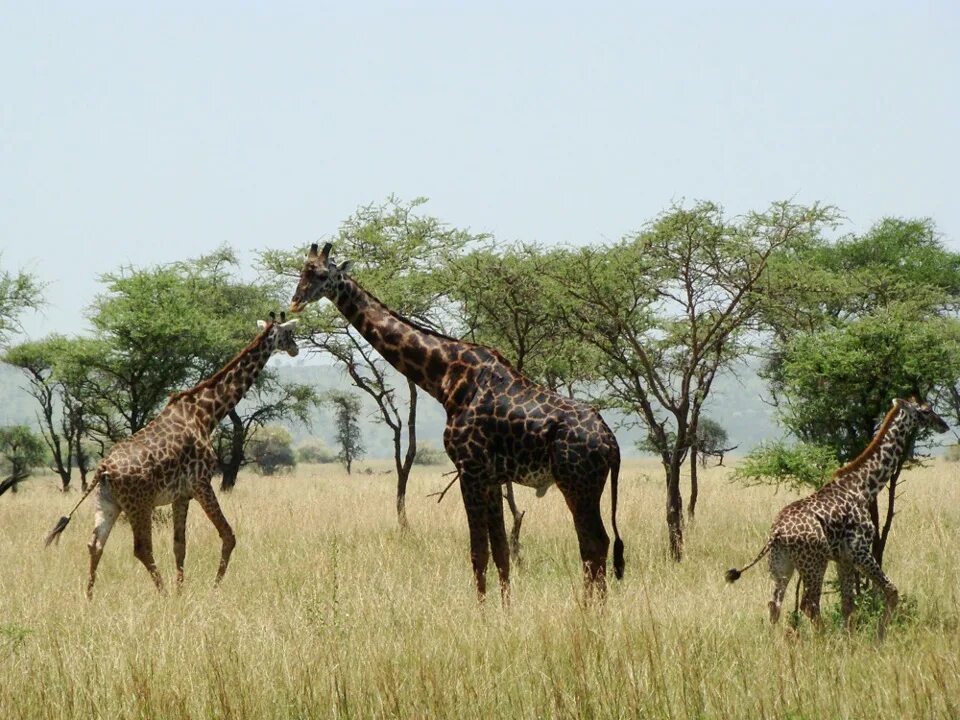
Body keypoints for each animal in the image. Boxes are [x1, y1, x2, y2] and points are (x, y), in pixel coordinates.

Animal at [45, 312, 298, 600]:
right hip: (139, 505)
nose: (295, 348)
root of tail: (103, 469)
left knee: (95, 544)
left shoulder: (181, 494)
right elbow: (228, 535)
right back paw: (162, 593)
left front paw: (181, 591)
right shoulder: (201, 483)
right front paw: (212, 588)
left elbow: (180, 545)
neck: (206, 415)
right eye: (289, 333)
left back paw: (89, 598)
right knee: (141, 548)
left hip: (108, 504)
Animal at [288, 243, 628, 600]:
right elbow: (501, 552)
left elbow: (478, 552)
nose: (295, 300)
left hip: (577, 482)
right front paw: (505, 608)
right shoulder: (491, 477)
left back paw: (590, 609)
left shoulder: (470, 468)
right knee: (596, 545)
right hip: (586, 484)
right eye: (302, 270)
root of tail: (611, 442)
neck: (446, 377)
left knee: (594, 544)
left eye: (321, 274)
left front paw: (482, 611)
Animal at [728, 396, 944, 640]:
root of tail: (777, 532)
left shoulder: (843, 558)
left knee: (775, 604)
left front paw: (850, 640)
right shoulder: (859, 551)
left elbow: (848, 604)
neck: (864, 486)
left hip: (781, 565)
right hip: (814, 562)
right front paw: (878, 636)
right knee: (809, 604)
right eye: (926, 410)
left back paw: (775, 642)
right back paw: (822, 642)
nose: (943, 425)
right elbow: (891, 591)